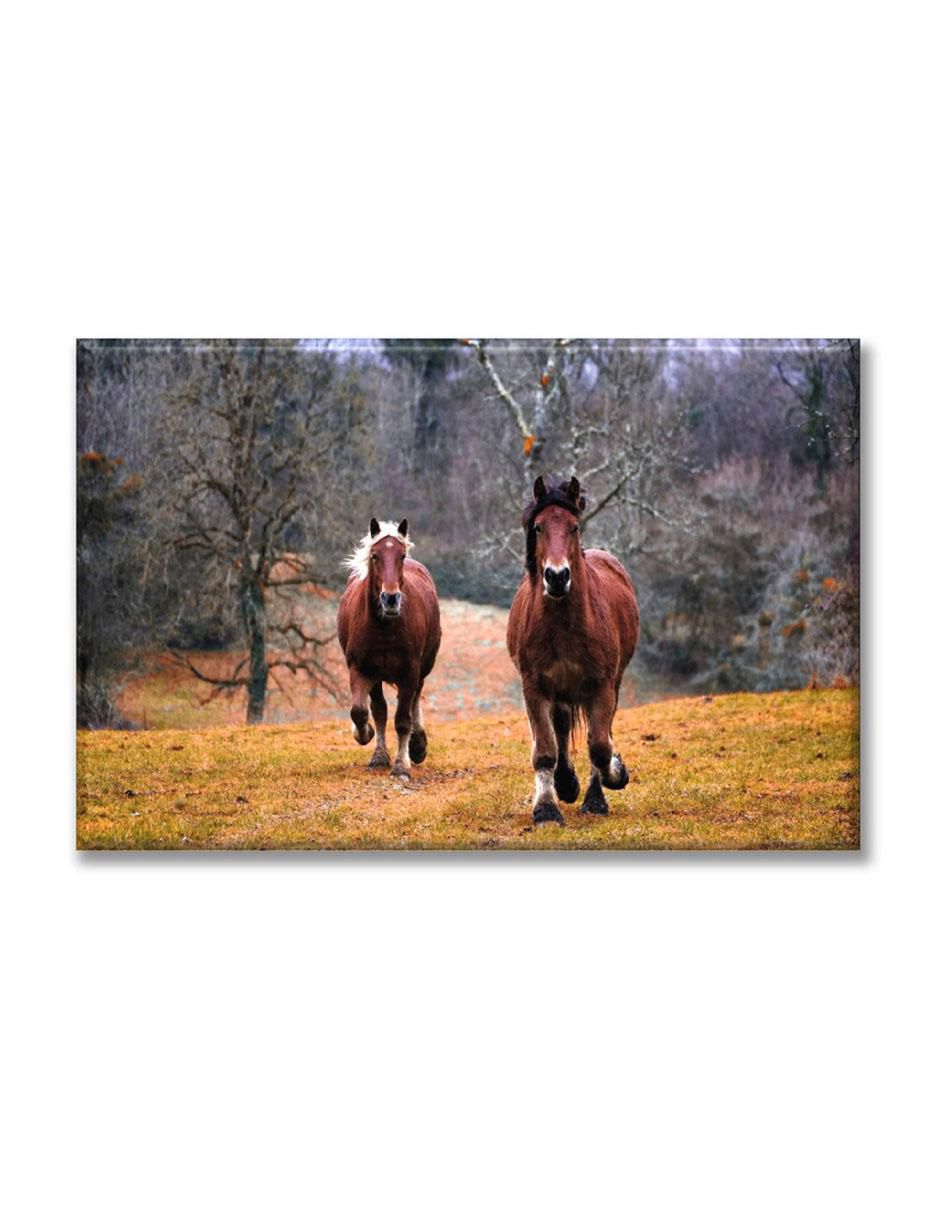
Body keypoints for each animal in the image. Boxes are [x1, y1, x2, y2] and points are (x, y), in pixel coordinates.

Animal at [337, 518, 442, 777]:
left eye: (401, 555)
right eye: (375, 555)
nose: (391, 599)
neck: (383, 628)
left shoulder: (409, 672)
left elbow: (402, 719)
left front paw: (402, 764)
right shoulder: (361, 670)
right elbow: (362, 711)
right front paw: (367, 738)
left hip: (423, 668)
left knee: (415, 700)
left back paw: (418, 745)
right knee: (380, 709)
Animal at [507, 476, 640, 825]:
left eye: (574, 526)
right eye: (538, 527)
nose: (556, 577)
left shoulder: (602, 686)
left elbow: (600, 746)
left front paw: (613, 778)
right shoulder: (535, 687)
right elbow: (545, 749)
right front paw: (546, 808)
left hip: (611, 685)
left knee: (598, 733)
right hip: (560, 692)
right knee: (562, 728)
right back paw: (565, 783)